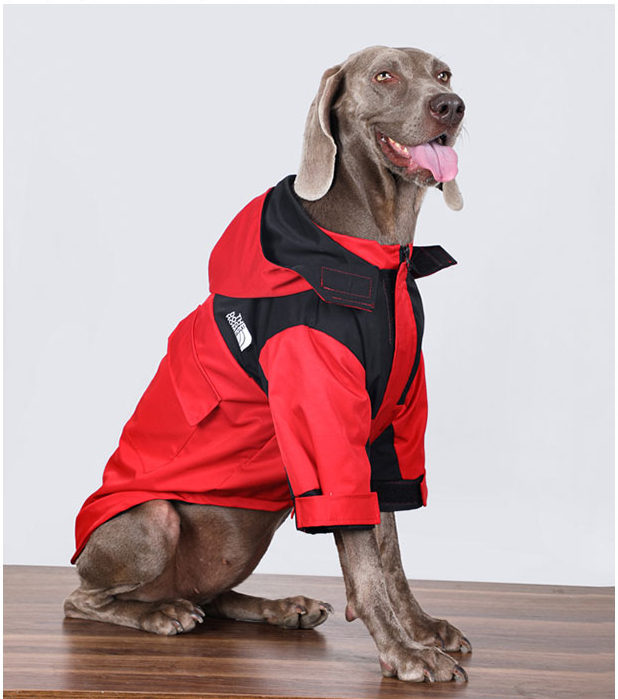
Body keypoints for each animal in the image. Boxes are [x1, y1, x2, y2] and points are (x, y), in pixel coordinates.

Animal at [64, 46, 470, 684]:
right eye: (384, 75)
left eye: (443, 73)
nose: (451, 106)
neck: (379, 255)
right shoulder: (326, 430)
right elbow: (364, 559)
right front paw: (404, 653)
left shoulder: (389, 429)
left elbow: (391, 551)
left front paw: (422, 628)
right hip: (152, 521)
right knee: (84, 600)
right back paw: (159, 615)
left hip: (248, 527)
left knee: (212, 597)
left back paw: (282, 606)